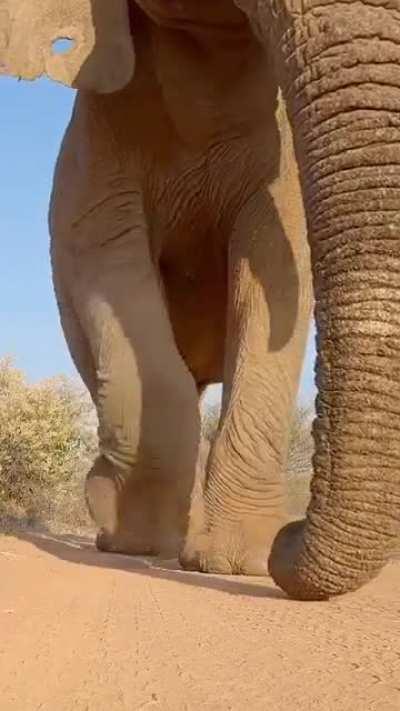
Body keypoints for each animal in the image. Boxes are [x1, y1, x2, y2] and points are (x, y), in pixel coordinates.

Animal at [2, 0, 400, 601]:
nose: (290, 534)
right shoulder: (99, 134)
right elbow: (106, 259)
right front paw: (136, 540)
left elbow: (273, 266)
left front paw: (237, 561)